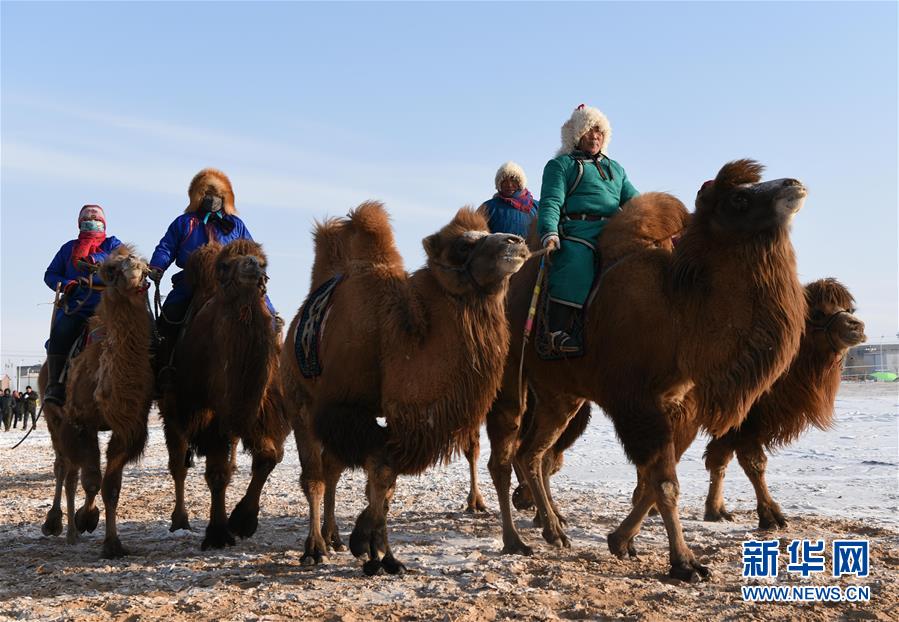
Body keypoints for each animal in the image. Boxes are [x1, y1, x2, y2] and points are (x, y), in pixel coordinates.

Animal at [160, 239, 290, 552]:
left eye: (263, 261)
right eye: (225, 265)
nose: (253, 265)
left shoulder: (258, 408)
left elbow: (268, 457)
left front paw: (243, 521)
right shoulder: (209, 412)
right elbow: (217, 473)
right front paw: (218, 533)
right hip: (173, 408)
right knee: (178, 464)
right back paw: (179, 521)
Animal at [282, 202, 532, 576]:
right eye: (463, 245)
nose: (516, 242)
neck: (398, 335)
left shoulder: (400, 418)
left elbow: (384, 479)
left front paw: (379, 552)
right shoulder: (340, 408)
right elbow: (380, 469)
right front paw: (369, 546)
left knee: (333, 469)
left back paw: (333, 537)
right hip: (299, 399)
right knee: (315, 474)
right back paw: (315, 548)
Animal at [488, 162, 812, 584]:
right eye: (739, 198)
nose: (794, 184)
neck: (679, 312)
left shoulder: (676, 406)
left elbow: (650, 484)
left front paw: (621, 540)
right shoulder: (637, 404)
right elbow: (664, 483)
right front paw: (685, 563)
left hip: (562, 395)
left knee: (533, 453)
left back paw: (554, 527)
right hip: (512, 381)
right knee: (506, 456)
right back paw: (518, 539)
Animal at [708, 280, 868, 528]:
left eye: (850, 309)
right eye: (817, 313)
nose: (856, 327)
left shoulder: (730, 424)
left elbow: (719, 460)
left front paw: (717, 512)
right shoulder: (745, 421)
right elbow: (754, 463)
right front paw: (772, 517)